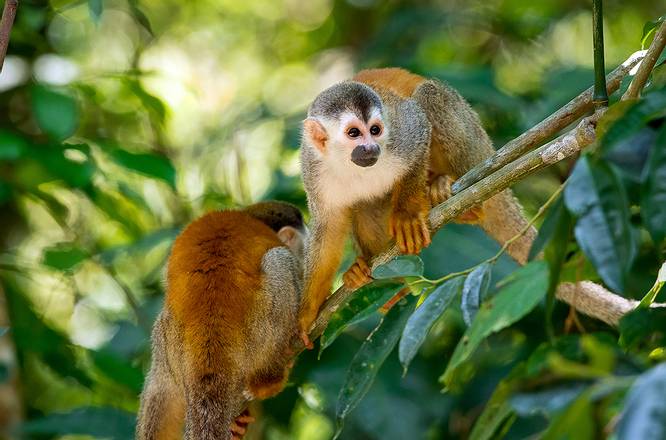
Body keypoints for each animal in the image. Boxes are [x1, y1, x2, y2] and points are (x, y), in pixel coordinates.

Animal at [136, 201, 306, 438]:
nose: (305, 256)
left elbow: (160, 394)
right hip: (259, 327)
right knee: (279, 260)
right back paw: (269, 380)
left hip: (169, 341)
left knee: (160, 383)